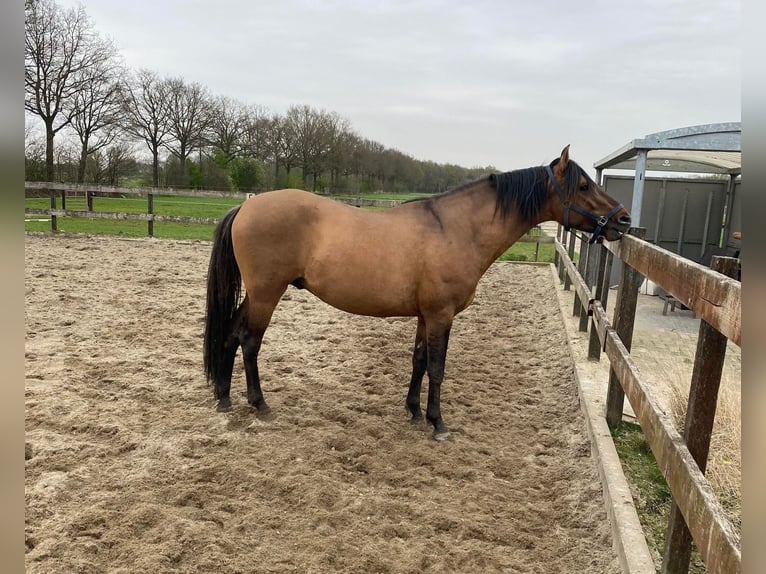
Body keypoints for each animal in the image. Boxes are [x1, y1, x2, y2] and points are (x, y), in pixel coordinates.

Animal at [202, 146, 632, 438]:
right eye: (583, 184)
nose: (624, 220)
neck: (455, 229)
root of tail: (245, 209)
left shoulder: (427, 315)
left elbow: (420, 361)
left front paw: (412, 410)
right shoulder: (442, 314)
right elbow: (438, 367)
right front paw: (437, 422)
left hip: (256, 295)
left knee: (229, 334)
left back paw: (223, 398)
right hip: (267, 293)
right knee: (249, 341)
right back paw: (258, 404)